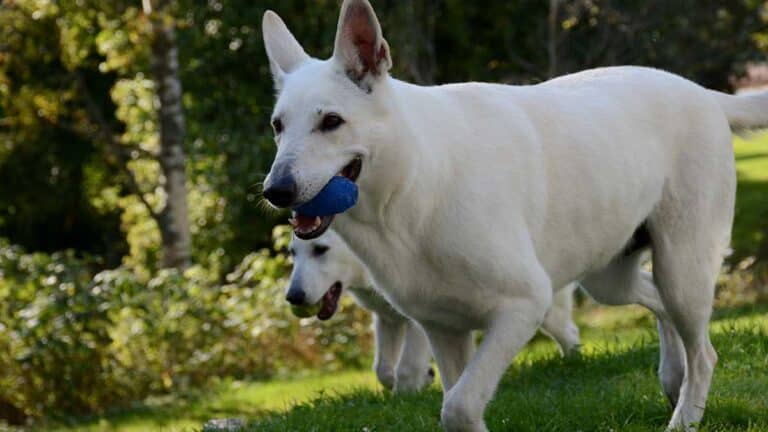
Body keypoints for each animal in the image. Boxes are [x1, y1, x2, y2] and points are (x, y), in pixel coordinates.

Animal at [284, 230, 580, 392]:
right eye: (292, 254)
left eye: (321, 249)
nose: (293, 296)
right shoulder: (387, 319)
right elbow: (382, 369)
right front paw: (422, 379)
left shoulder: (420, 319)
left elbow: (406, 367)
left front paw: (407, 394)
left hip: (540, 309)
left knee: (568, 331)